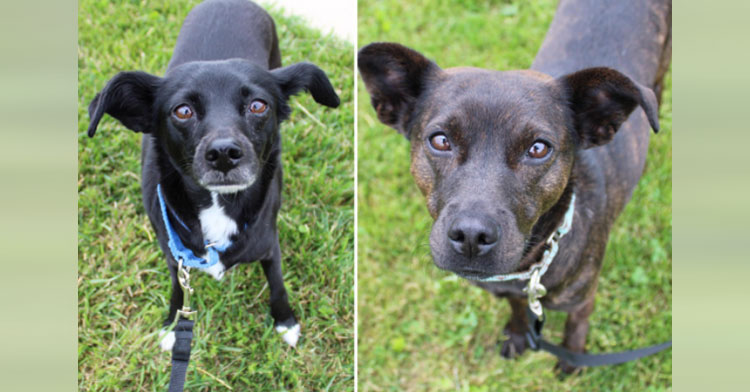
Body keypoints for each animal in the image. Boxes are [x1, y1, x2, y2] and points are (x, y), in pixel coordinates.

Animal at [86, 0, 340, 350]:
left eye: (258, 105)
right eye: (182, 111)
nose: (223, 153)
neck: (219, 204)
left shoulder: (268, 243)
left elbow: (277, 282)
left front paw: (285, 320)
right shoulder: (174, 257)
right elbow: (178, 289)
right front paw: (173, 324)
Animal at [360, 0, 676, 374]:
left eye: (538, 148)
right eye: (440, 140)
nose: (471, 236)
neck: (532, 264)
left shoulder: (582, 299)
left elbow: (576, 327)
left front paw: (571, 359)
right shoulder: (510, 291)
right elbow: (514, 307)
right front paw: (517, 333)